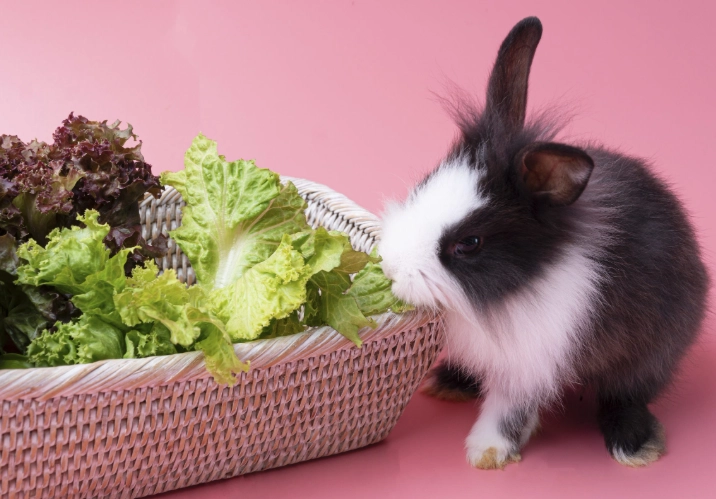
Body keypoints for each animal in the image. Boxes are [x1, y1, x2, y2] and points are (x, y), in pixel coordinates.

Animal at [378, 16, 709, 469]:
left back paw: (634, 445)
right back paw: (448, 383)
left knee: (627, 395)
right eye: (424, 184)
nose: (390, 267)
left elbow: (509, 409)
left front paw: (486, 453)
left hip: (654, 352)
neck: (511, 290)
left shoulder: (531, 362)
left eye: (470, 243)